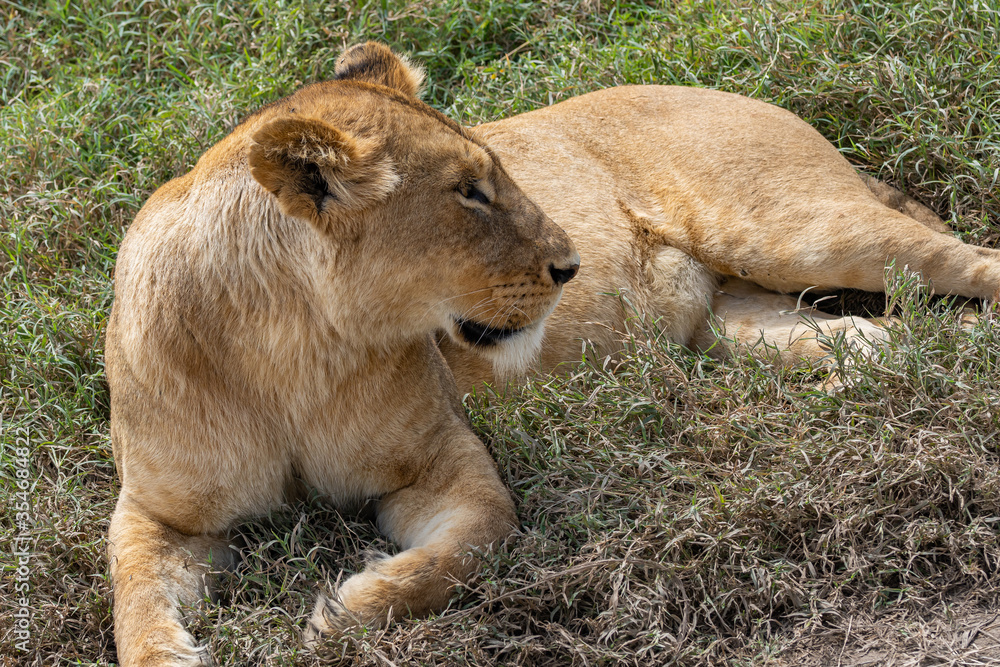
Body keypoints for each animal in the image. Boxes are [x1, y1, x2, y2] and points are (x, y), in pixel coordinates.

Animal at [105, 42, 1000, 665]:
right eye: (470, 192)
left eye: (497, 175)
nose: (570, 264)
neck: (291, 348)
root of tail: (739, 93)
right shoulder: (157, 509)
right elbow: (133, 599)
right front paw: (168, 646)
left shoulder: (441, 456)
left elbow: (470, 544)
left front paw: (350, 604)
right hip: (749, 325)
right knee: (893, 339)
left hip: (802, 230)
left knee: (972, 261)